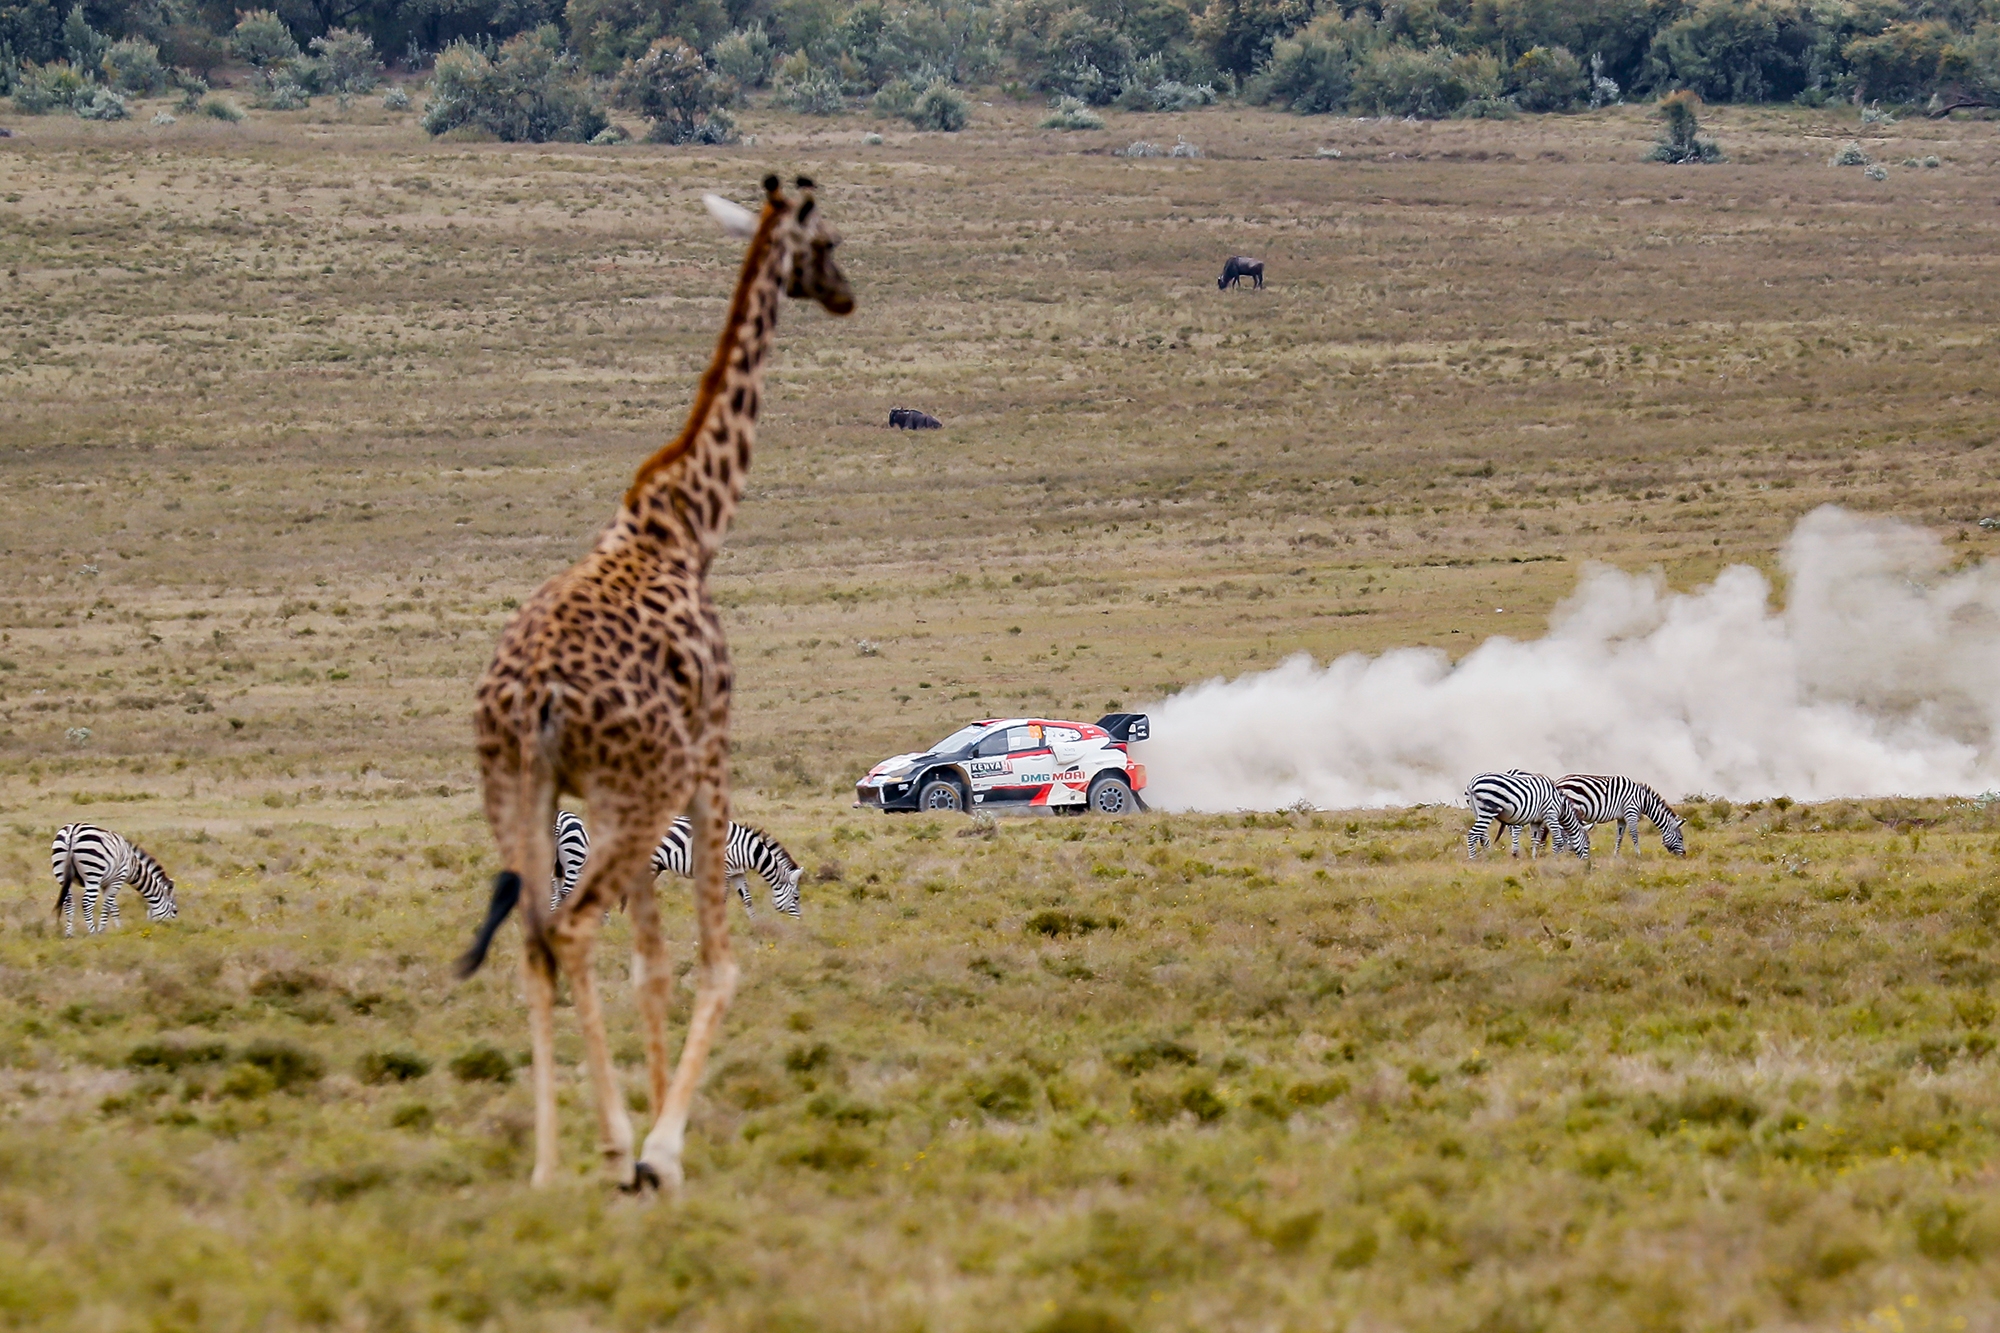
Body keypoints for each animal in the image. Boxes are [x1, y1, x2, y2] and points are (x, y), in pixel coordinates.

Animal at [556, 804, 804, 920]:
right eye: (796, 897)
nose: (800, 922)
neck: (747, 850)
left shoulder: (737, 872)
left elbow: (747, 899)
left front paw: (755, 924)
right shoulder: (723, 869)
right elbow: (722, 897)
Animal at [1544, 772, 1688, 856]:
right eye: (1681, 838)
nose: (1684, 854)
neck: (1643, 800)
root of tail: (1558, 781)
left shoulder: (1622, 818)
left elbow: (1620, 836)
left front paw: (1616, 855)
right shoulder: (1631, 812)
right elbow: (1634, 835)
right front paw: (1638, 854)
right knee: (1562, 832)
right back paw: (1563, 854)